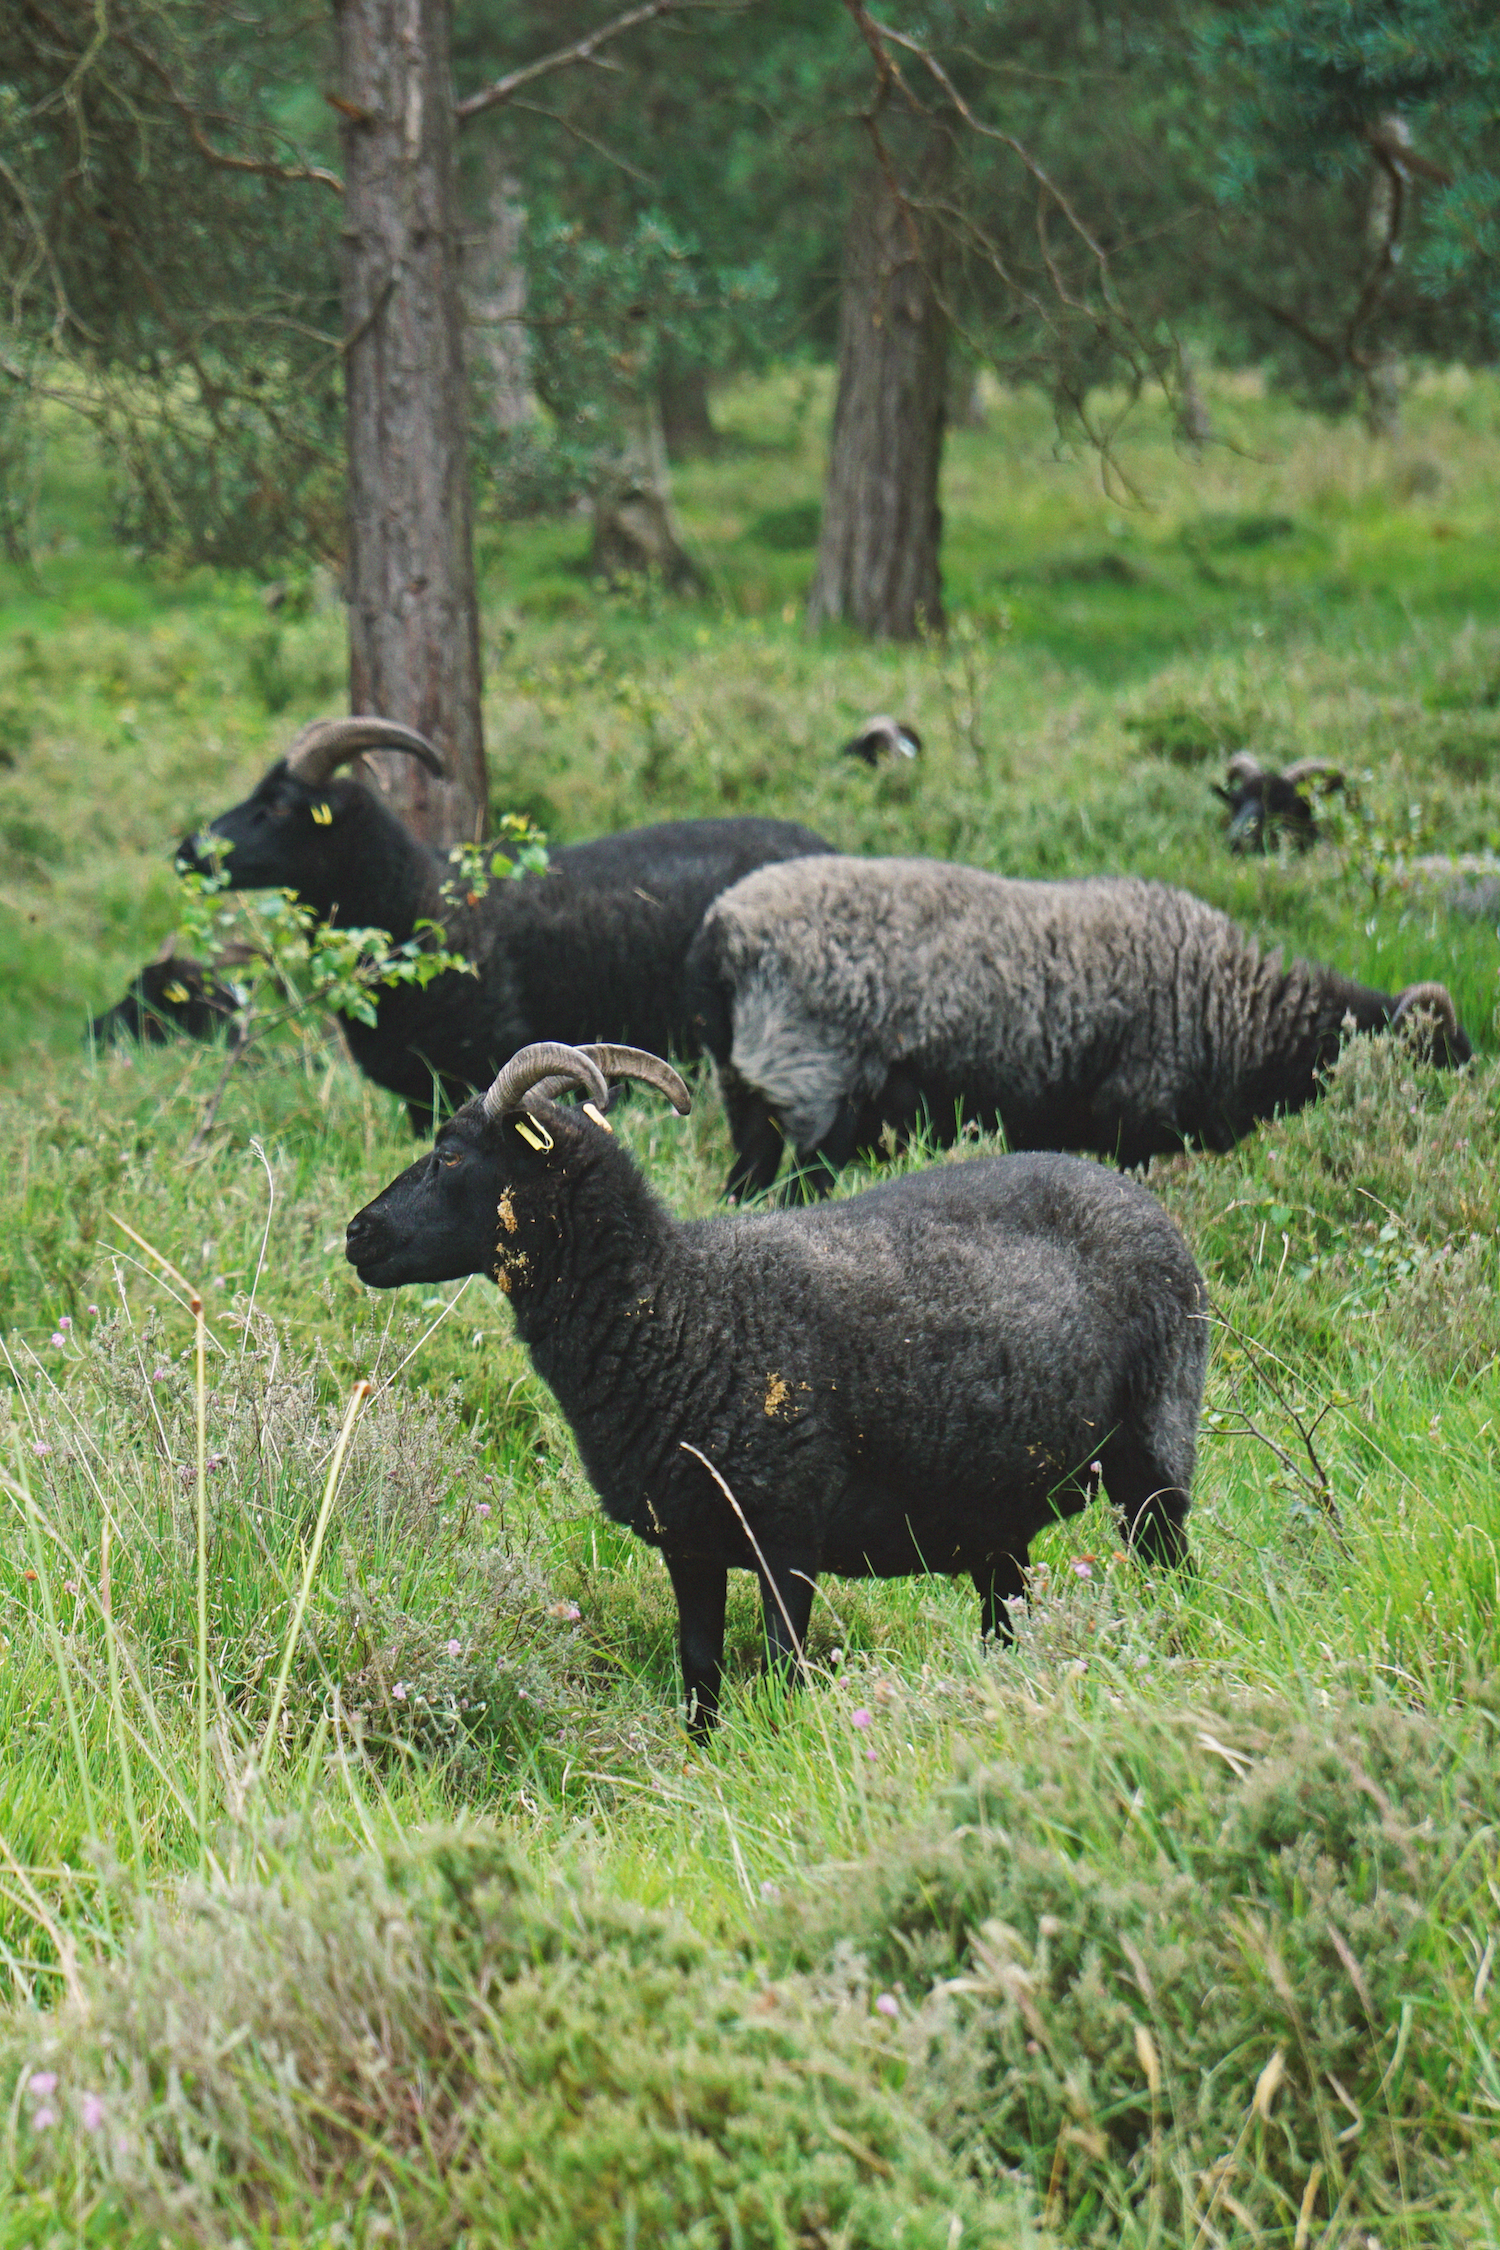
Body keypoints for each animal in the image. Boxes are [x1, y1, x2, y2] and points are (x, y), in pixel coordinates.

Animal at [345, 1040, 1208, 1733]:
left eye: (453, 1155)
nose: (357, 1234)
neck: (676, 1309)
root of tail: (1146, 1202)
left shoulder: (787, 1532)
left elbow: (784, 1672)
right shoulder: (689, 1543)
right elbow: (699, 1673)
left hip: (1155, 1454)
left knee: (1175, 1573)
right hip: (997, 1518)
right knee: (1006, 1622)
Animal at [683, 856, 1473, 1197]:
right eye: (1437, 1052)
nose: (1474, 1116)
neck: (1235, 1008)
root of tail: (722, 934)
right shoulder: (1134, 1121)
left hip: (747, 1095)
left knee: (741, 1191)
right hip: (818, 1092)